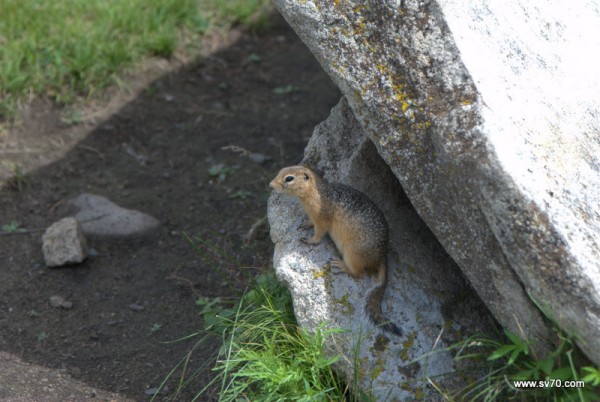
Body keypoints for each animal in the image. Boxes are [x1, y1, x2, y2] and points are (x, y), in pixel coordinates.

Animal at [270, 165, 404, 338]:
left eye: (289, 178)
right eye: (280, 171)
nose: (271, 186)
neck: (316, 192)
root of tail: (382, 257)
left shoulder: (322, 219)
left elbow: (319, 233)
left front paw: (309, 241)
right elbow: (311, 223)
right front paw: (306, 224)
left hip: (352, 253)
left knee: (359, 274)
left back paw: (340, 265)